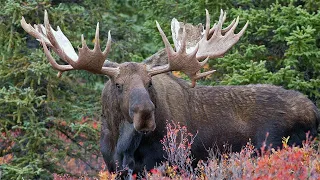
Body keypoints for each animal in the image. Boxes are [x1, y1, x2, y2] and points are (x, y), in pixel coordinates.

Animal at [21, 9, 318, 173]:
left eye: (149, 83)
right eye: (118, 85)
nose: (144, 113)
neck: (122, 146)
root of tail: (314, 110)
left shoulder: (170, 162)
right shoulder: (113, 167)